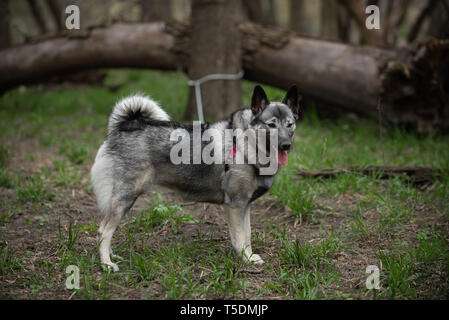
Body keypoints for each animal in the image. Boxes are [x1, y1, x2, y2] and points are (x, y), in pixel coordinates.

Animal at [90, 84, 300, 270]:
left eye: (290, 125)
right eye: (271, 125)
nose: (286, 145)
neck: (246, 144)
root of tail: (123, 126)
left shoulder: (245, 205)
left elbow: (247, 234)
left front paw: (249, 256)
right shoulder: (235, 205)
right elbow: (240, 237)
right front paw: (245, 259)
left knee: (105, 231)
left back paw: (112, 256)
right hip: (125, 198)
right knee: (104, 231)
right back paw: (106, 264)